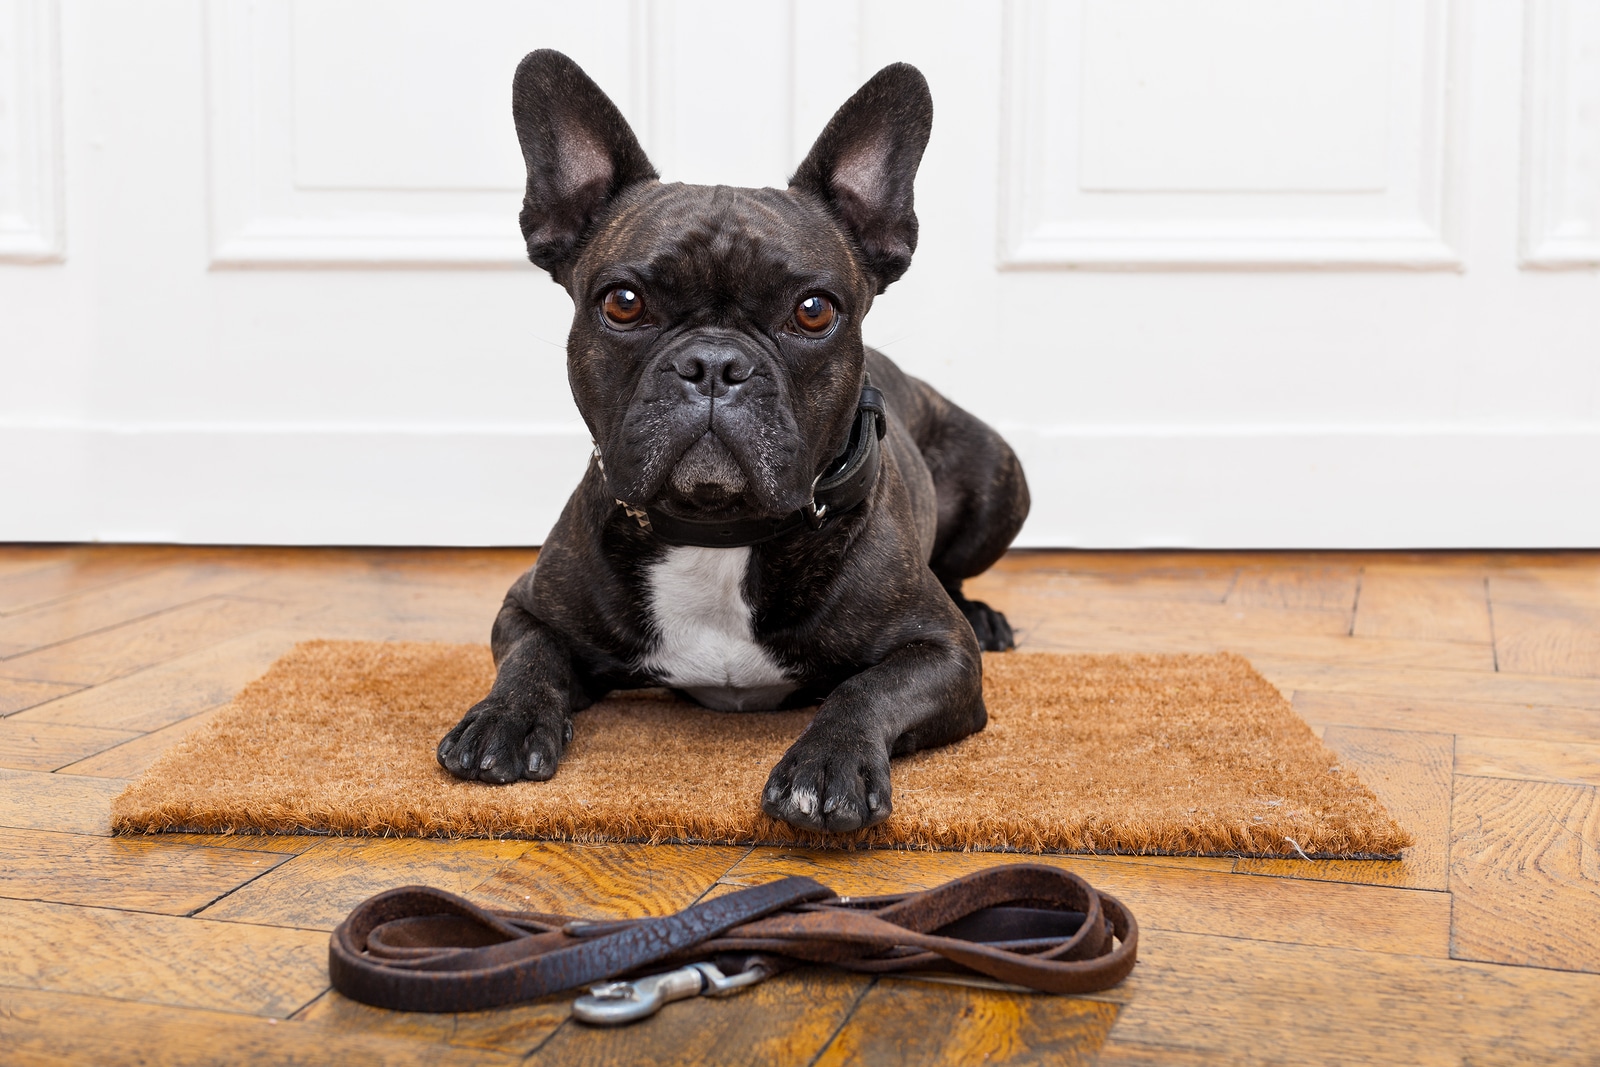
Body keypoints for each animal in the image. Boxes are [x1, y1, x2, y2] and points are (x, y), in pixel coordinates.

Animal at [432, 49, 1030, 831]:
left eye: (814, 312)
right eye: (623, 302)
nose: (714, 364)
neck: (718, 533)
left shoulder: (940, 652)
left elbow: (866, 689)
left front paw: (827, 763)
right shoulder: (528, 607)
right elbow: (530, 660)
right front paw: (502, 718)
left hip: (999, 483)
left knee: (959, 574)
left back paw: (984, 615)